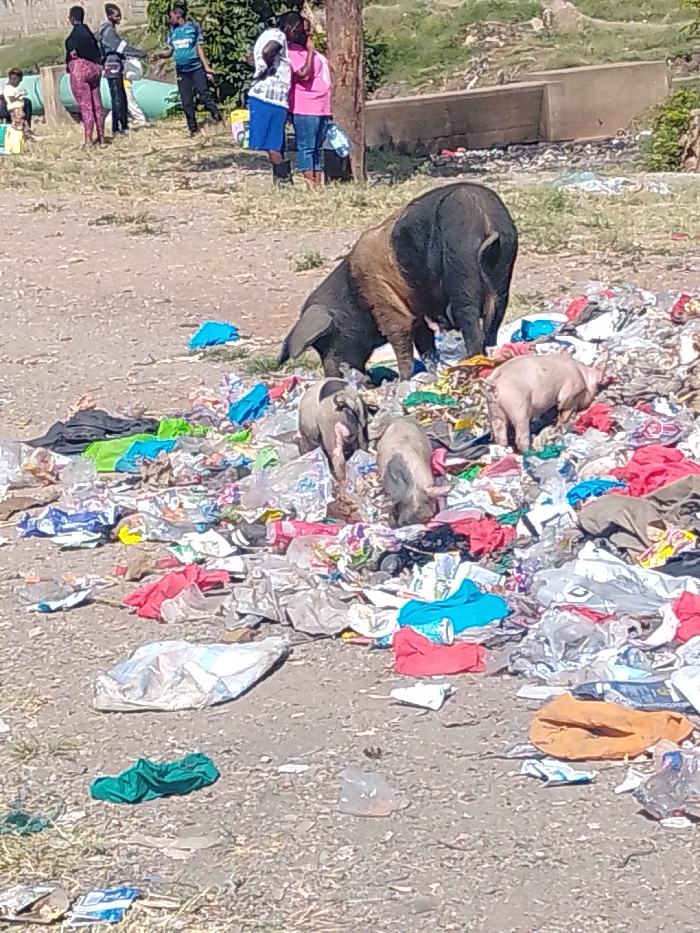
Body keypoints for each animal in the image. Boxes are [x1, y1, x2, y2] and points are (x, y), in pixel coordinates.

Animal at [278, 182, 518, 381]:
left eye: (326, 340)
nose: (332, 378)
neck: (354, 294)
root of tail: (485, 219)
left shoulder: (388, 307)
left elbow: (401, 343)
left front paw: (403, 381)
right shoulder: (418, 314)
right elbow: (425, 345)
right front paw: (431, 373)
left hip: (461, 267)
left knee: (473, 329)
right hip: (503, 272)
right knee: (492, 327)